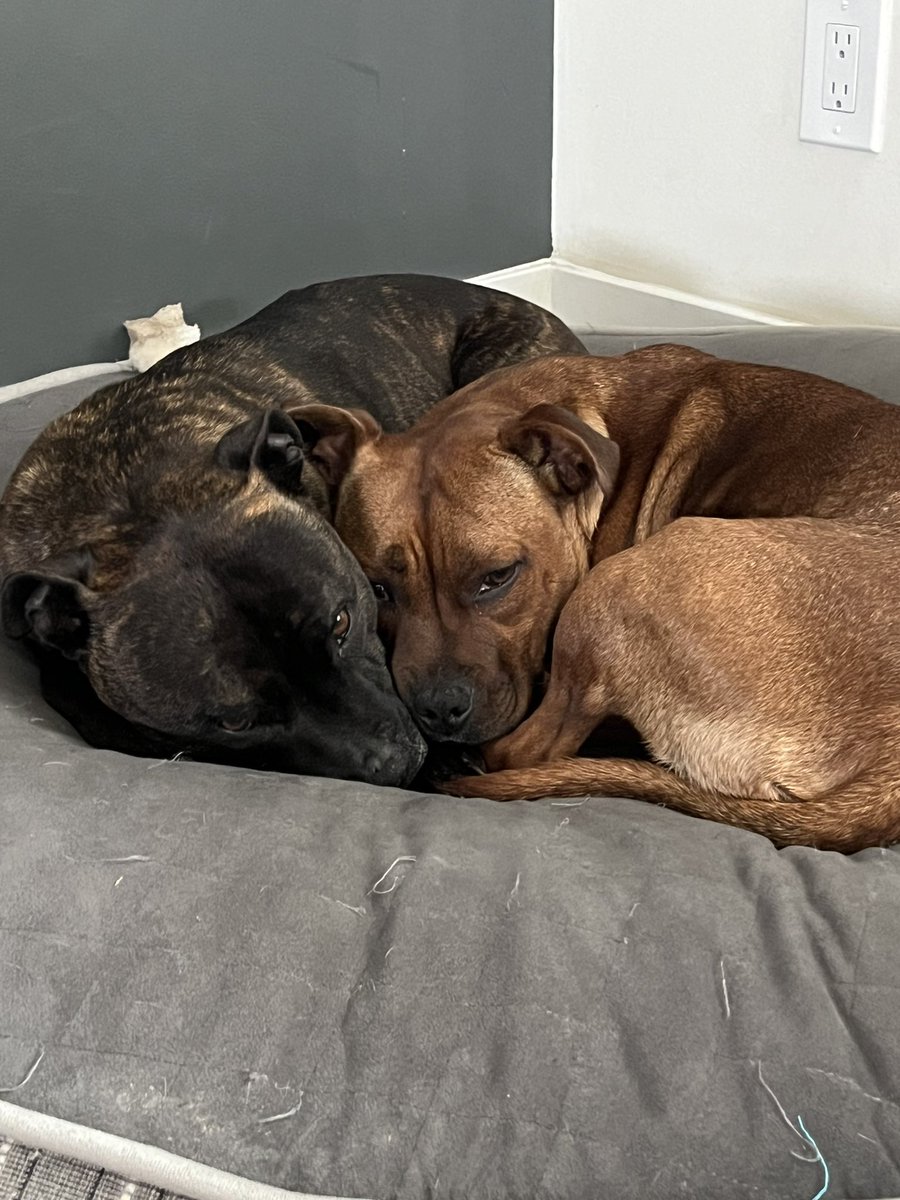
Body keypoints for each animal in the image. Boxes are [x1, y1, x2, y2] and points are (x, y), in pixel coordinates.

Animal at [300, 345, 900, 854]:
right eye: (379, 589)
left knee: (524, 751)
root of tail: (885, 778)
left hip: (613, 589)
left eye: (497, 577)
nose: (438, 709)